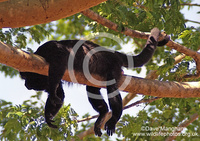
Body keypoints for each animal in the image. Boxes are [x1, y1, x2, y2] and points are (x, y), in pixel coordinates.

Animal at [19, 27, 170, 137]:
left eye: (26, 78)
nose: (25, 85)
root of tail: (113, 54)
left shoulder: (50, 48)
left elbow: (60, 60)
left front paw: (51, 93)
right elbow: (59, 95)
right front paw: (48, 116)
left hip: (113, 67)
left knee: (111, 89)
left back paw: (114, 118)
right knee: (91, 89)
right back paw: (103, 113)